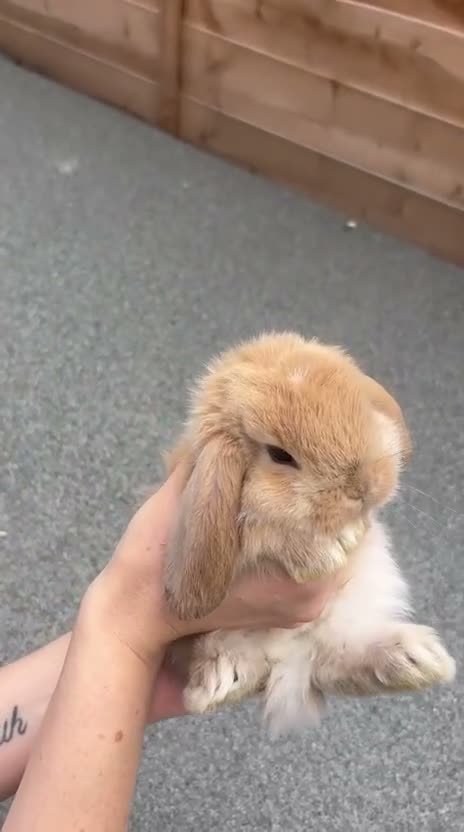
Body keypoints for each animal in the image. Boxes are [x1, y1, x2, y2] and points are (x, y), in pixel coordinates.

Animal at [164, 332, 455, 732]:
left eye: (358, 407)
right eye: (279, 455)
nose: (364, 488)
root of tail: (289, 655)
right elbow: (265, 530)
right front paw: (329, 553)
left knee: (332, 661)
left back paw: (417, 660)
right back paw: (216, 683)